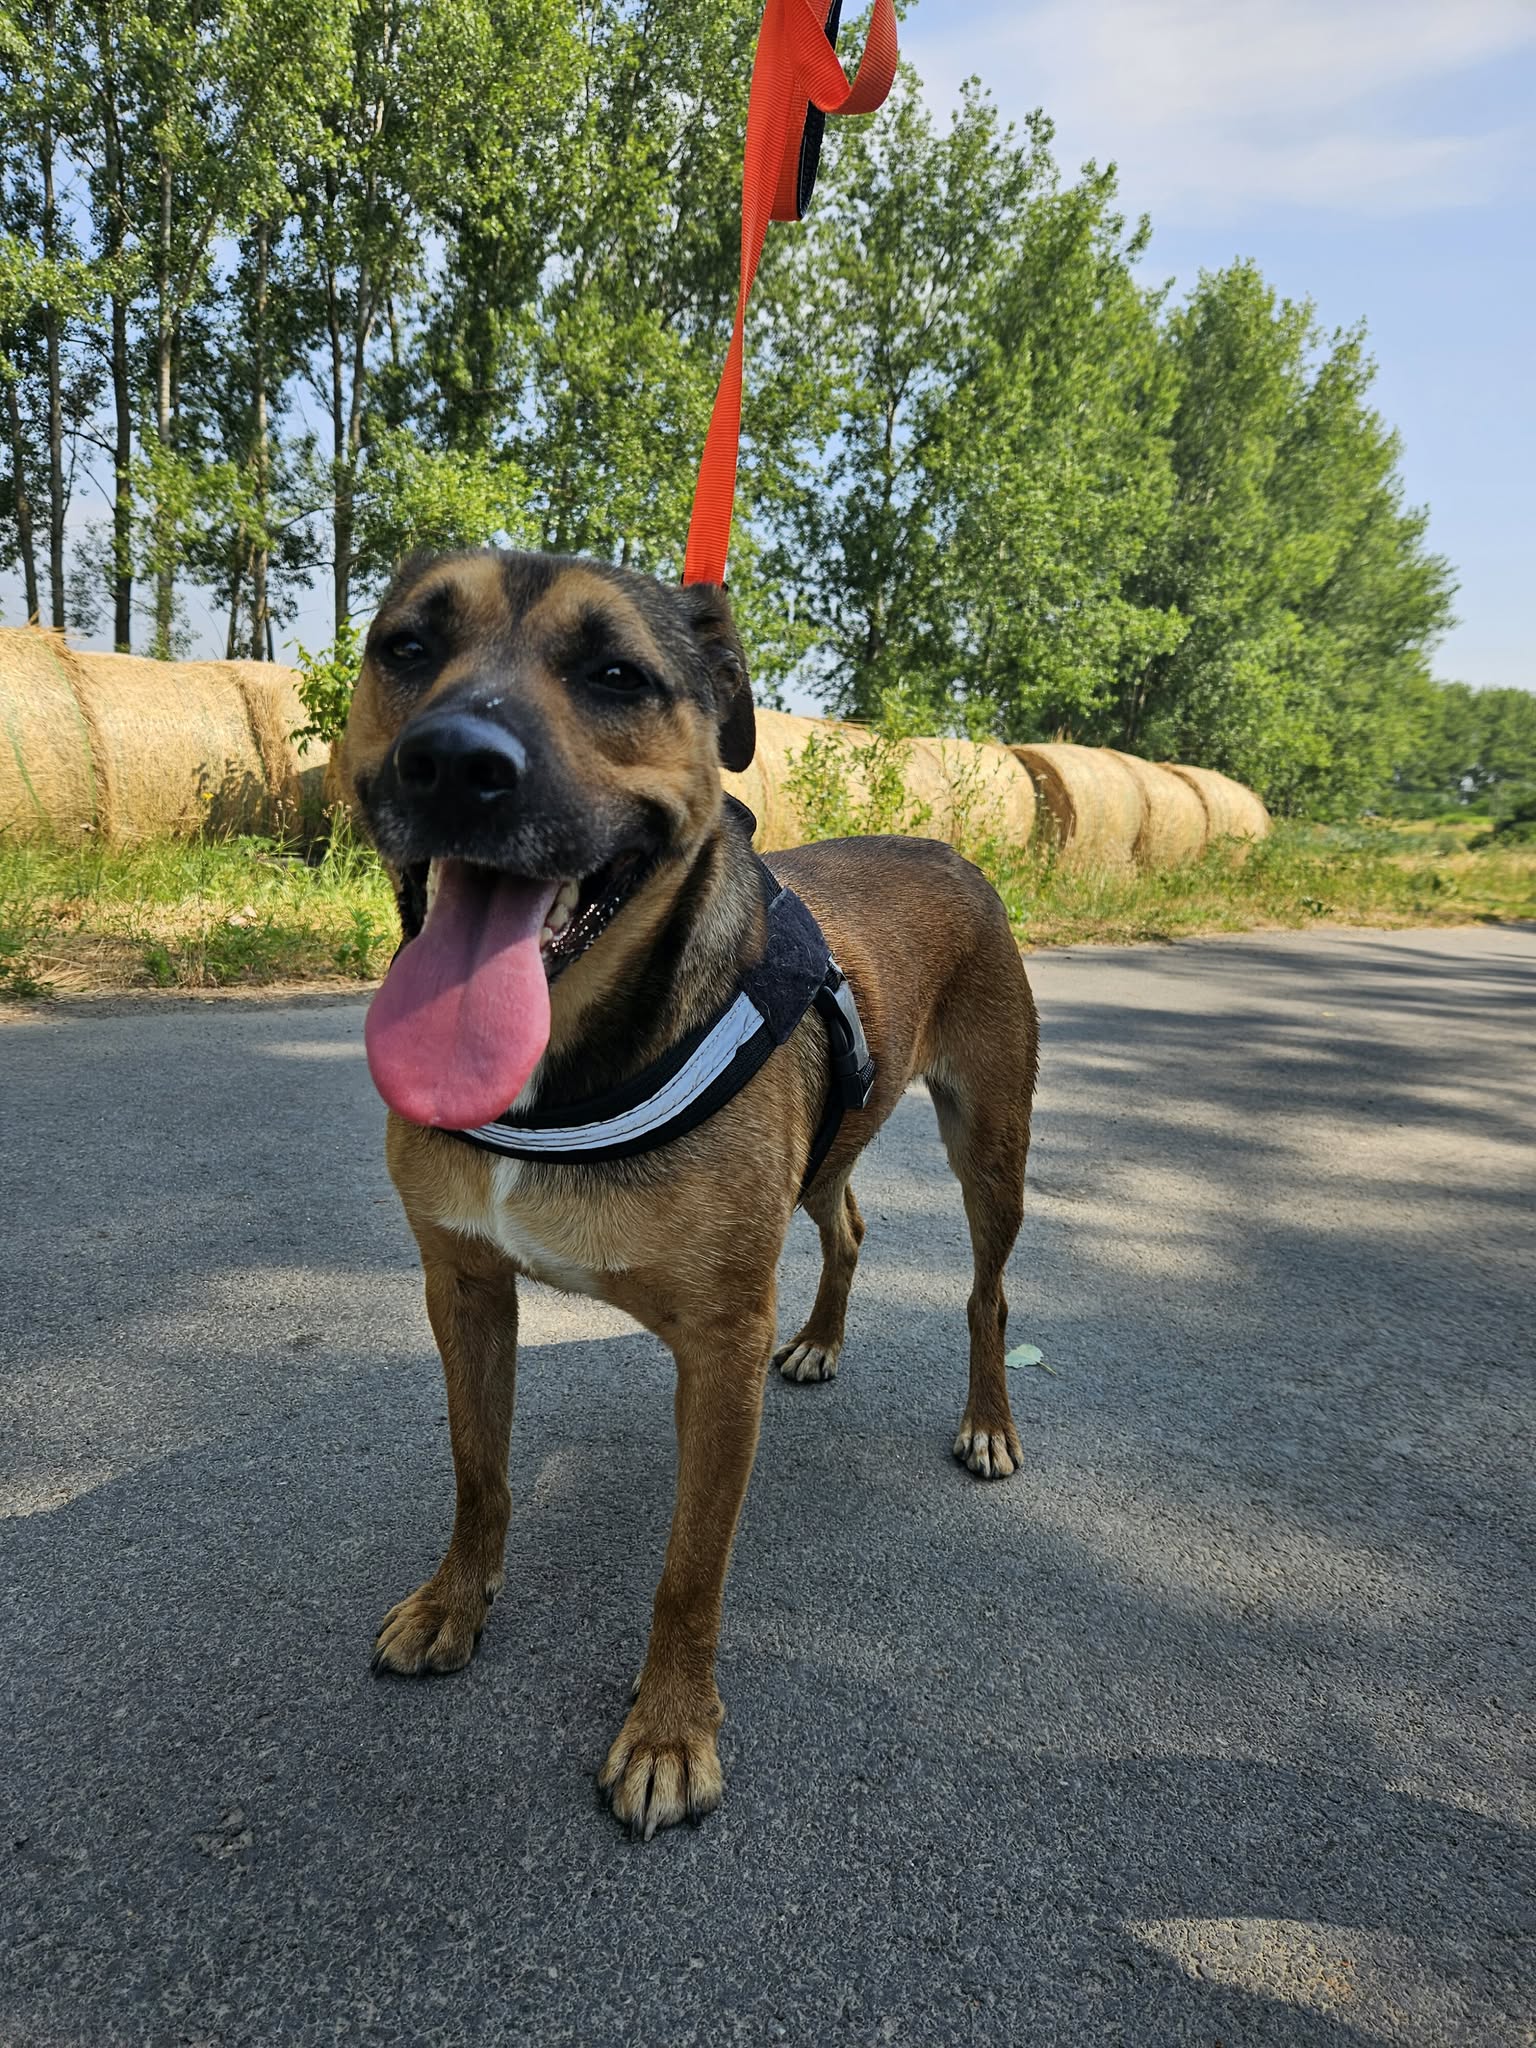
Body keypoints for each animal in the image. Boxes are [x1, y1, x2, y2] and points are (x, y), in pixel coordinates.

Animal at [342, 546, 1039, 1838]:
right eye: (406, 646)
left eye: (616, 673)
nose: (453, 761)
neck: (561, 1071)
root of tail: (946, 844)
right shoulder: (462, 1283)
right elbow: (479, 1472)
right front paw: (456, 1600)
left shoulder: (717, 1348)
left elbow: (689, 1568)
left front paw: (669, 1731)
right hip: (829, 1150)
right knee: (847, 1222)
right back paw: (819, 1340)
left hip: (992, 1145)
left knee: (988, 1294)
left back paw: (988, 1421)